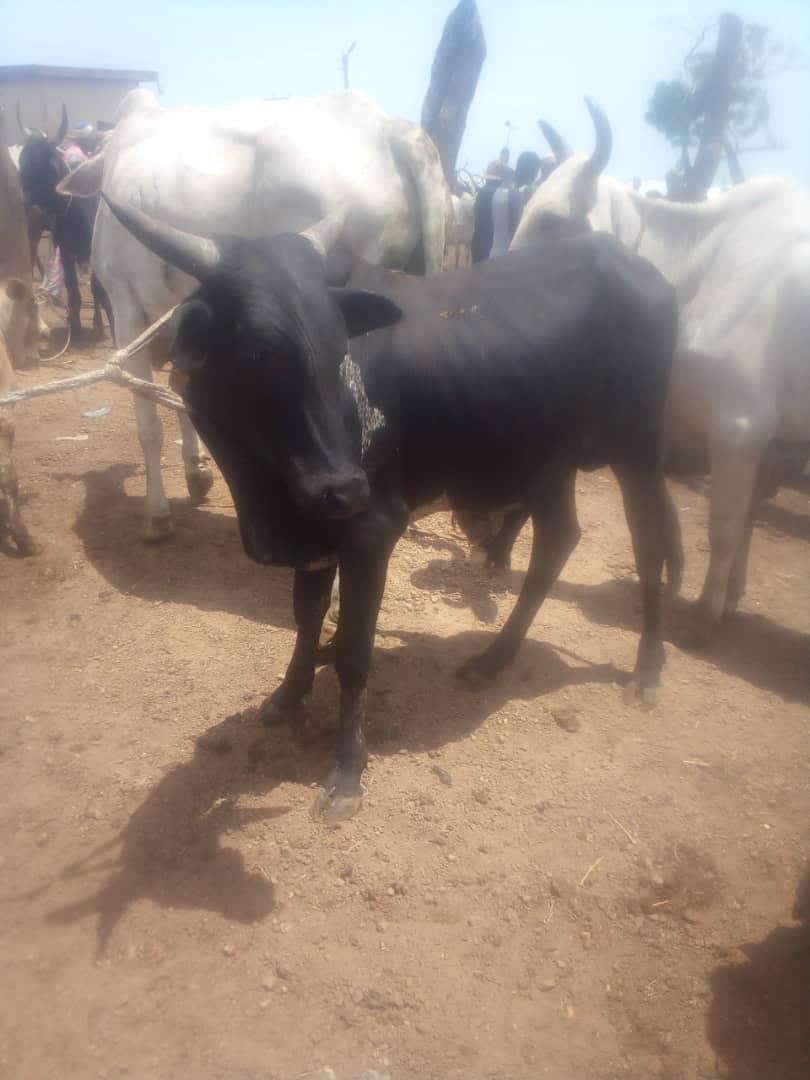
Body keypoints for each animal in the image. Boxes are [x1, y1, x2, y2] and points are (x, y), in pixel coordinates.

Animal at [16, 104, 113, 344]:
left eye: (42, 165)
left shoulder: (93, 252)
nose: (24, 204)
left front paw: (103, 327)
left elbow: (98, 290)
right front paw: (76, 328)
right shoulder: (67, 252)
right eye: (21, 162)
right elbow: (74, 291)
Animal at [57, 88, 450, 542]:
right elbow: (179, 395)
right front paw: (196, 474)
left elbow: (149, 425)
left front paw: (157, 515)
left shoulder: (126, 309)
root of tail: (390, 128)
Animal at [103, 188, 681, 824]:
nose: (345, 487)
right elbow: (307, 616)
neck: (268, 498)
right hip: (547, 457)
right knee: (557, 540)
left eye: (339, 347)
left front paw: (346, 770)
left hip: (638, 445)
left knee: (650, 540)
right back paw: (494, 658)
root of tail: (632, 263)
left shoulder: (371, 530)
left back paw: (647, 669)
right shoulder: (315, 529)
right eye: (259, 351)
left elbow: (354, 650)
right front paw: (289, 694)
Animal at [509, 102, 810, 639]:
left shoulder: (739, 429)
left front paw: (708, 611)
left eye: (552, 220)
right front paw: (709, 594)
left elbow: (726, 524)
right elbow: (693, 516)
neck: (695, 273)